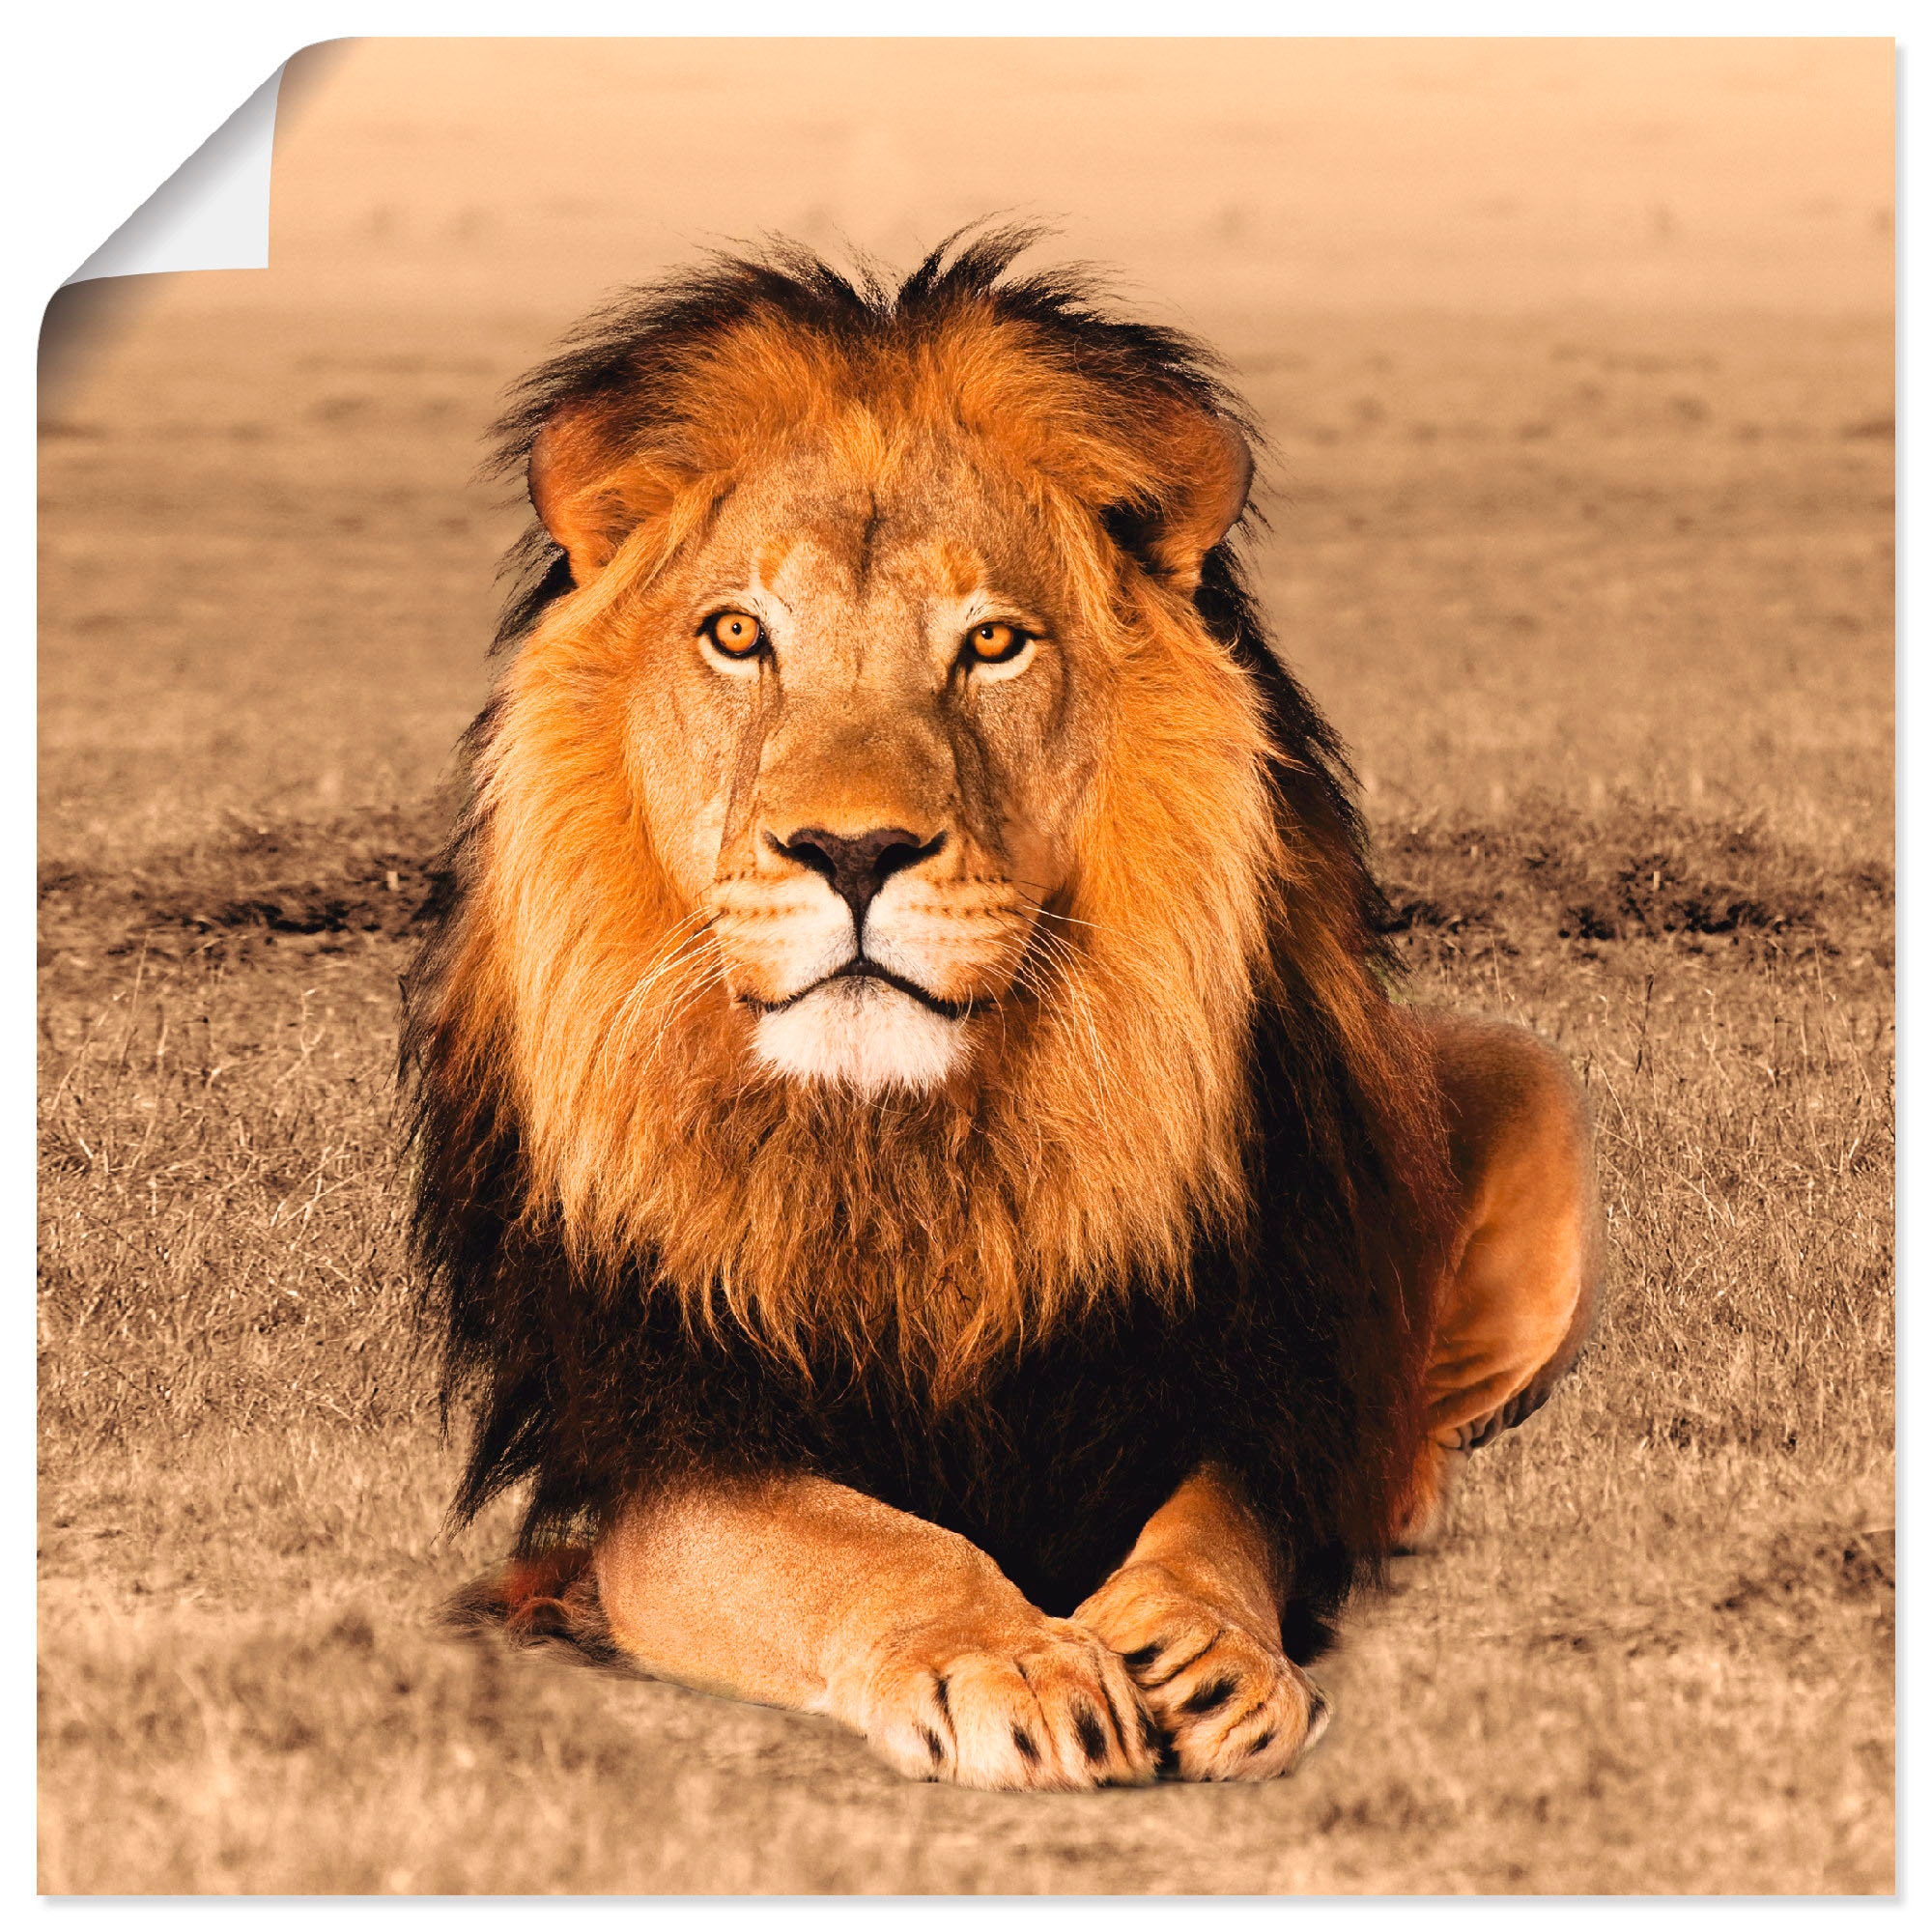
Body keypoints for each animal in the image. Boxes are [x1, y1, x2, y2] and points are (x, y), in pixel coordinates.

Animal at [404, 228, 1601, 1791]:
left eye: (991, 644)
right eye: (737, 634)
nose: (853, 851)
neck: (908, 1150)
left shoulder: (1231, 1372)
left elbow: (1223, 1520)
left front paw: (1202, 1647)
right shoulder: (666, 1442)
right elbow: (857, 1543)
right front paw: (1014, 1659)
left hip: (1527, 1084)